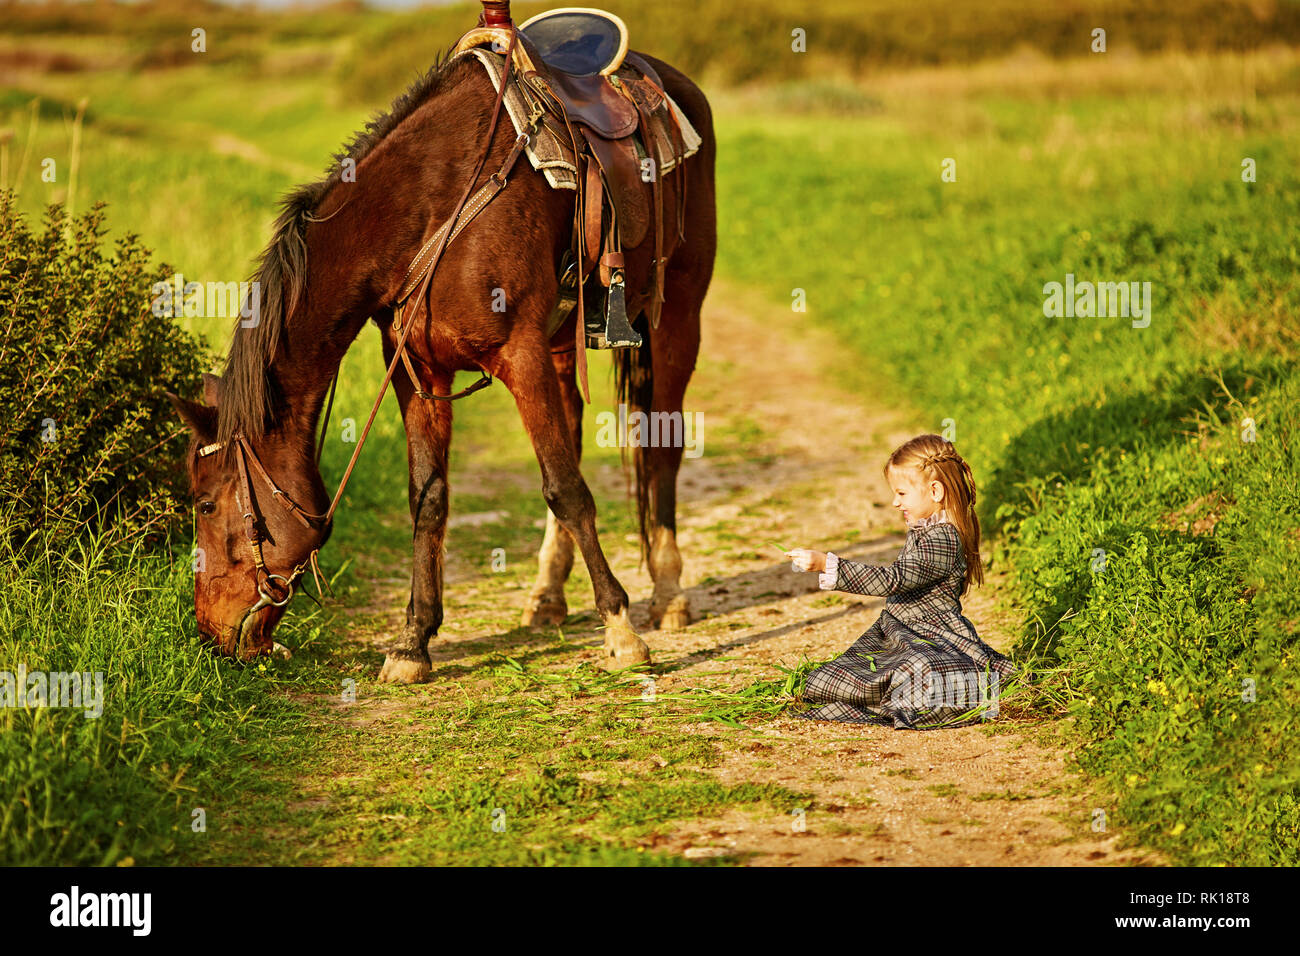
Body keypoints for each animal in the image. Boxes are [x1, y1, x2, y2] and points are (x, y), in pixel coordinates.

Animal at [166, 39, 717, 681]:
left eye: (205, 503)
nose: (209, 633)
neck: (433, 207)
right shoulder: (418, 370)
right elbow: (428, 499)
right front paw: (412, 642)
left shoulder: (521, 354)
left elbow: (566, 489)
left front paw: (621, 630)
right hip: (563, 341)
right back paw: (547, 594)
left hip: (677, 314)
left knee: (661, 444)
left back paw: (669, 592)